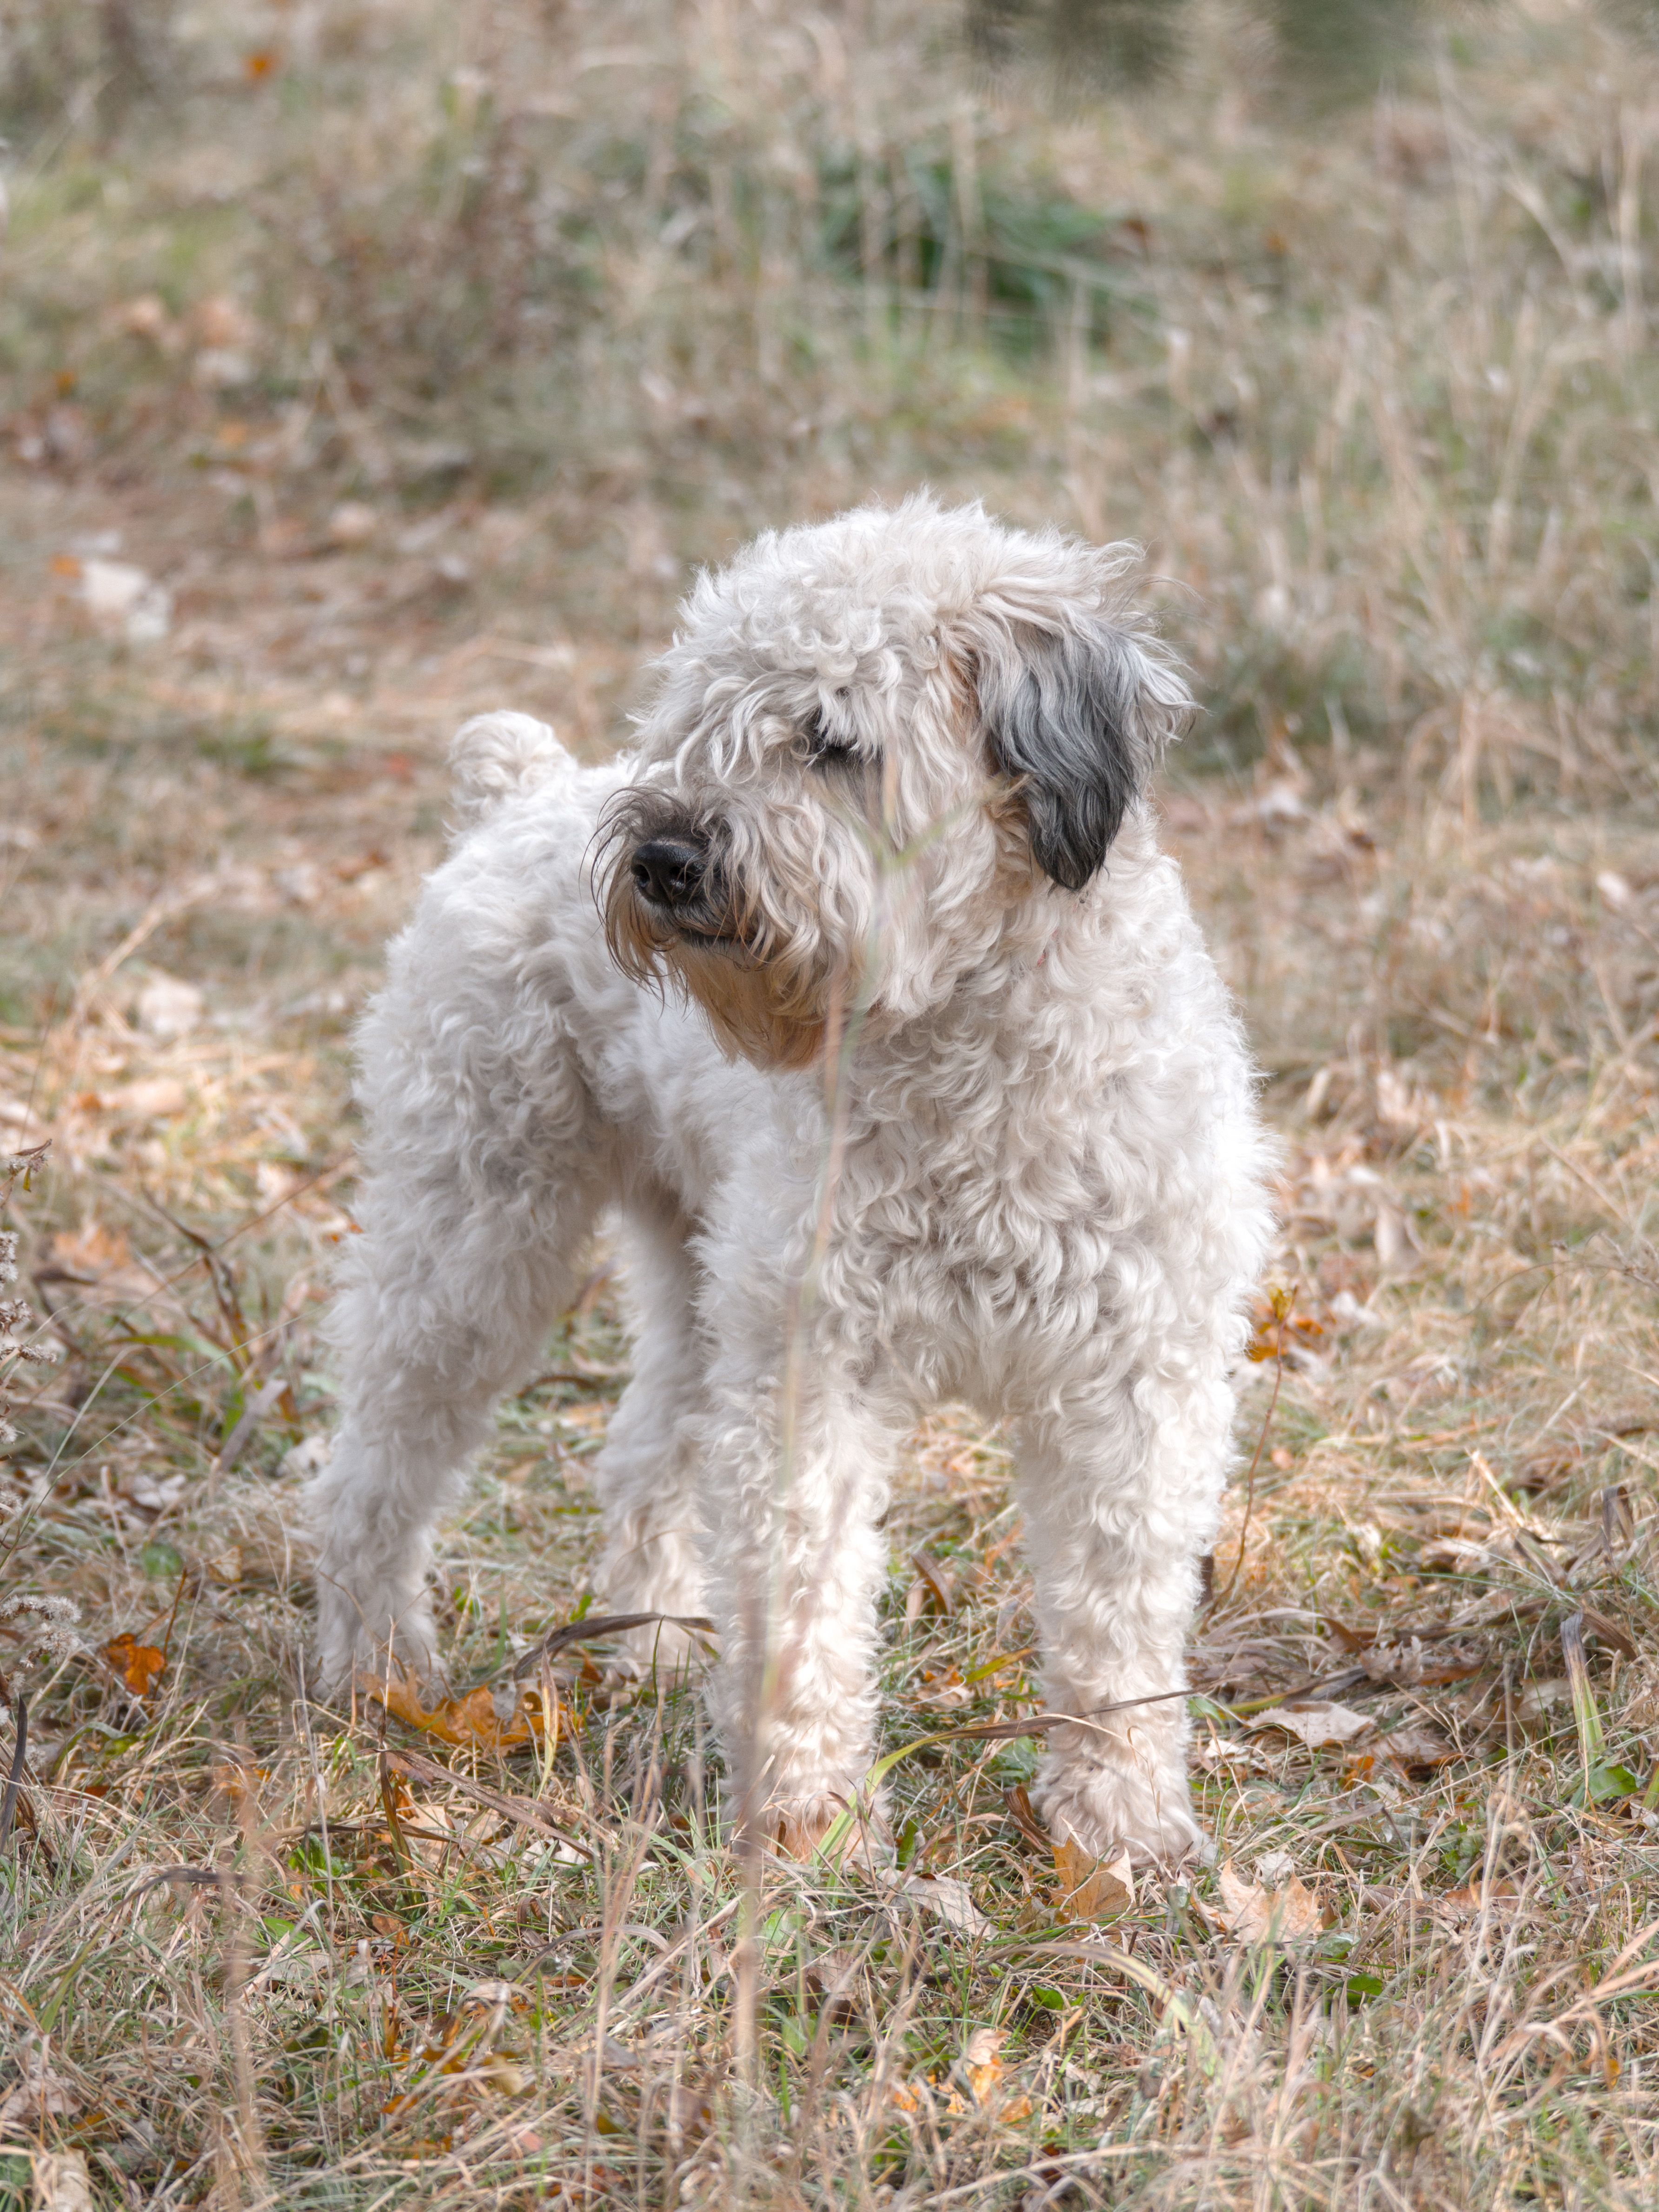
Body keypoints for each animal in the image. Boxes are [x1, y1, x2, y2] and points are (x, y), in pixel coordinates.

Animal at [312, 498, 1274, 1867]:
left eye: (833, 740)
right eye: (697, 721)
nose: (664, 857)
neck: (969, 1052)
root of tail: (523, 793)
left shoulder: (1137, 1383)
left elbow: (1115, 1627)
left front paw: (1120, 1824)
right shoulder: (812, 1369)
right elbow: (804, 1601)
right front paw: (809, 1827)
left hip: (693, 1274)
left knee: (641, 1449)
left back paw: (651, 1645)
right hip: (476, 1238)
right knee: (378, 1466)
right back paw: (378, 1671)